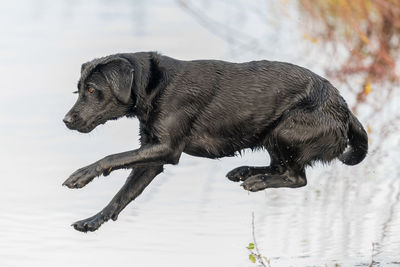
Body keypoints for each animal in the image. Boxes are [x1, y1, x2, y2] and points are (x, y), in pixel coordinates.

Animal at [63, 52, 368, 232]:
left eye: (93, 90)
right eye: (78, 90)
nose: (66, 120)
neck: (153, 85)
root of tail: (344, 108)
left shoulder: (166, 149)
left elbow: (111, 158)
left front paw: (80, 176)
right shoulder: (152, 156)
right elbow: (122, 195)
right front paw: (93, 220)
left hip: (287, 128)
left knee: (296, 177)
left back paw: (257, 181)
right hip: (272, 133)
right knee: (280, 167)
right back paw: (246, 172)